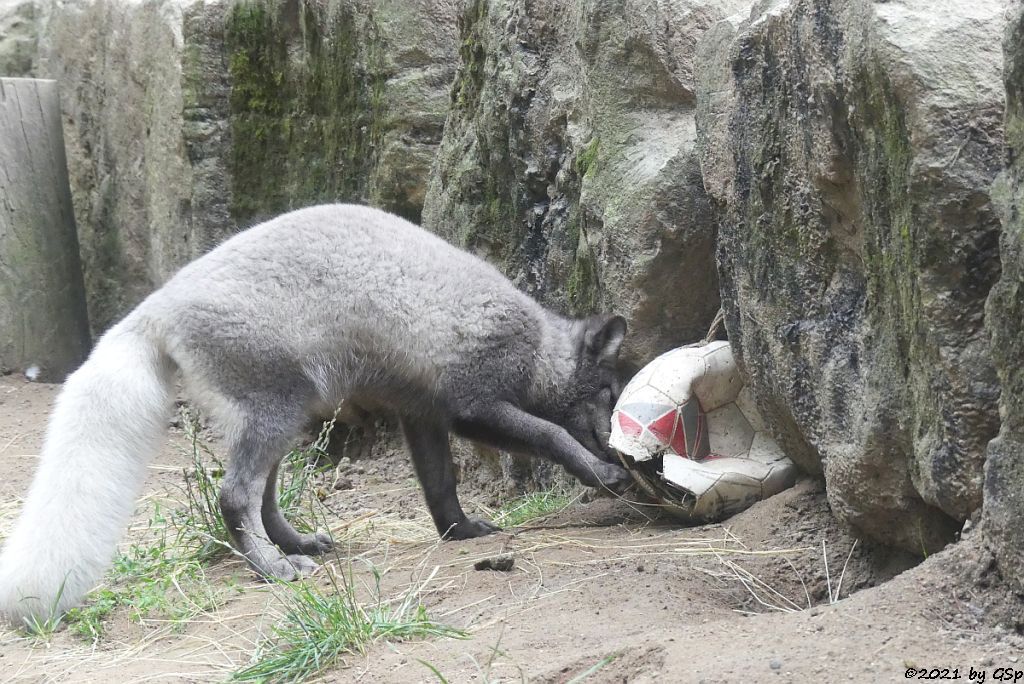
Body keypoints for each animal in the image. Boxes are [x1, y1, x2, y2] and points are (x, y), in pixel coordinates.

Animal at [0, 202, 630, 626]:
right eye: (608, 390)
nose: (618, 444)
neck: (537, 347)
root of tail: (154, 307)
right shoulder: (472, 408)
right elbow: (550, 434)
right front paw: (601, 473)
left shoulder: (421, 415)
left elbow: (440, 484)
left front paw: (462, 532)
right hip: (277, 412)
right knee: (234, 497)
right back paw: (273, 569)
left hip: (286, 418)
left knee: (262, 495)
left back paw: (296, 546)